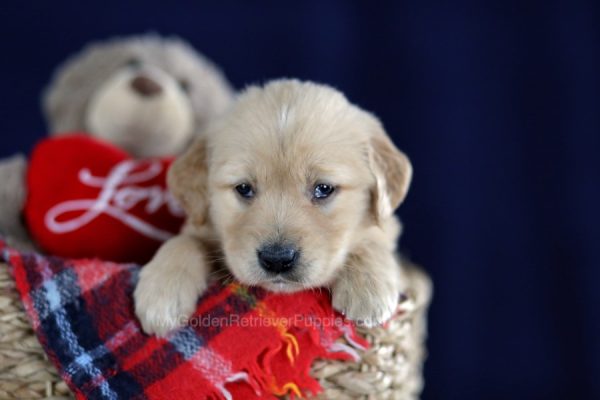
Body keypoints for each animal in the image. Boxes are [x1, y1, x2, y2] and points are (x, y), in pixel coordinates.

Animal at [135, 78, 412, 334]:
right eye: (244, 188)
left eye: (323, 189)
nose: (277, 260)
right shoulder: (198, 226)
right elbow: (183, 242)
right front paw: (162, 294)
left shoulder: (385, 228)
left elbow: (372, 241)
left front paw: (370, 288)